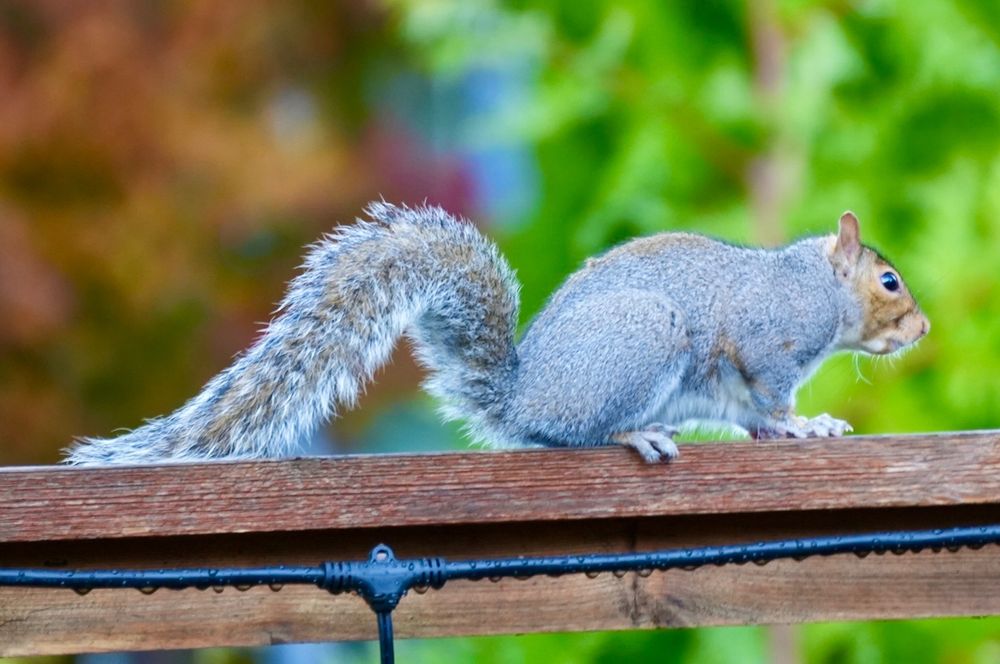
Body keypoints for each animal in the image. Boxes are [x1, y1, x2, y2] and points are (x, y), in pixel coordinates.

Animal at [64, 202, 929, 465]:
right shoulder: (766, 342)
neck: (815, 285)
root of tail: (519, 394)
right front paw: (804, 423)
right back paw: (635, 434)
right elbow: (771, 398)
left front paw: (807, 426)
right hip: (643, 342)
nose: (921, 328)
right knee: (573, 433)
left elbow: (753, 418)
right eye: (889, 281)